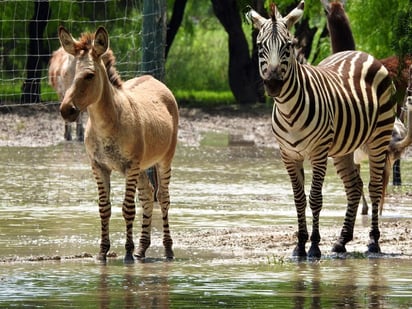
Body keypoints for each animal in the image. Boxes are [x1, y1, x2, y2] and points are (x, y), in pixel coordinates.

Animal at [246, 1, 398, 258]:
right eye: (259, 46)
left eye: (289, 45)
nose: (273, 84)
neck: (288, 111)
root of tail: (360, 53)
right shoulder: (288, 155)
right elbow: (299, 199)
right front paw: (299, 246)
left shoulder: (318, 153)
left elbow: (315, 198)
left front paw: (315, 246)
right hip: (343, 149)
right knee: (354, 187)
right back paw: (341, 242)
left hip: (379, 137)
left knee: (375, 187)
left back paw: (373, 242)